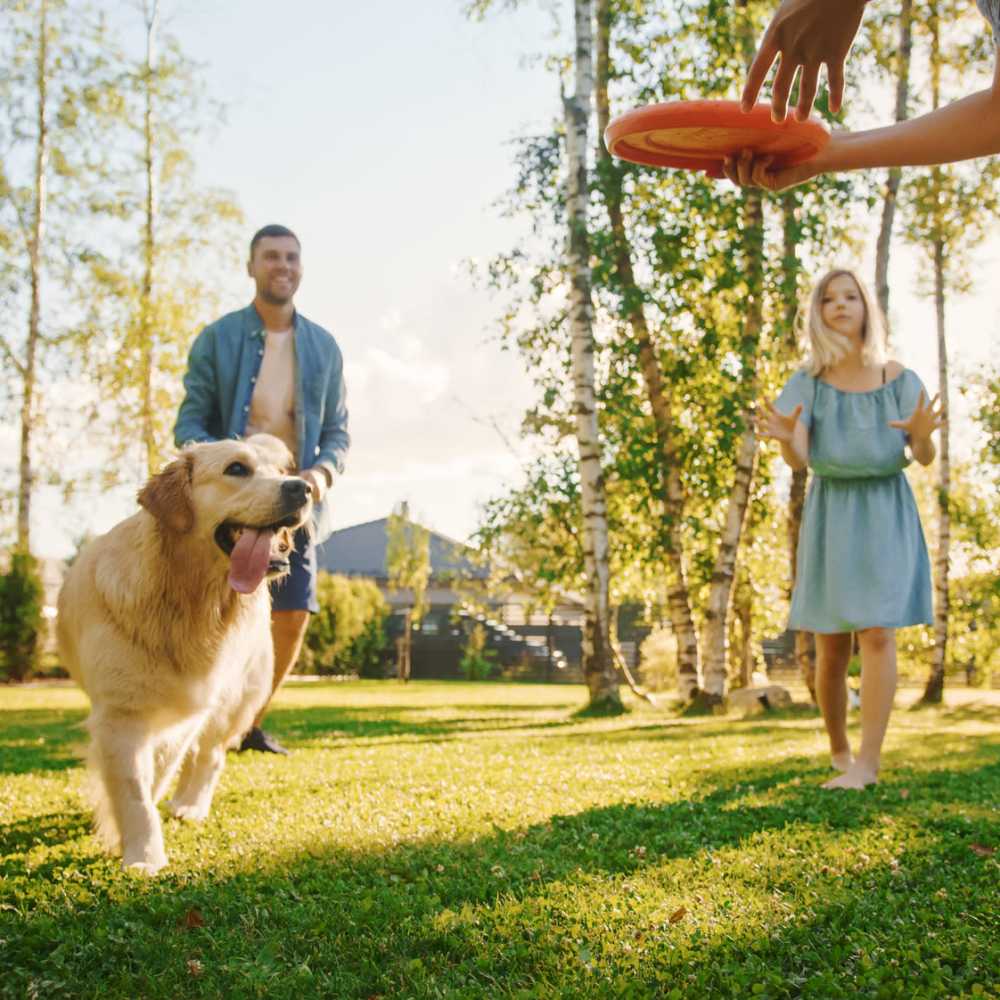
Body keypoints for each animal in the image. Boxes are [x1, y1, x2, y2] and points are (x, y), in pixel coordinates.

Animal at [56, 434, 310, 872]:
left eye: (280, 472)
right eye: (237, 469)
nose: (302, 487)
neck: (188, 599)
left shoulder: (186, 710)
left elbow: (154, 776)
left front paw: (137, 846)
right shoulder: (120, 714)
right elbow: (134, 787)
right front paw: (142, 853)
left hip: (230, 699)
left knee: (210, 755)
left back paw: (190, 805)